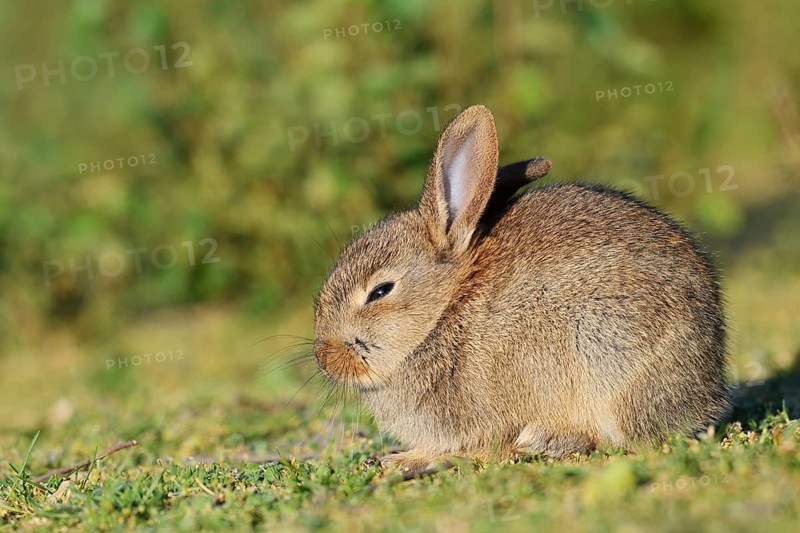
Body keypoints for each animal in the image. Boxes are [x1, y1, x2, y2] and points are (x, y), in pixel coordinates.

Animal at [313, 105, 729, 471]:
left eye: (380, 292)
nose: (324, 358)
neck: (445, 310)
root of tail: (708, 388)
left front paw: (411, 460)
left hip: (608, 353)